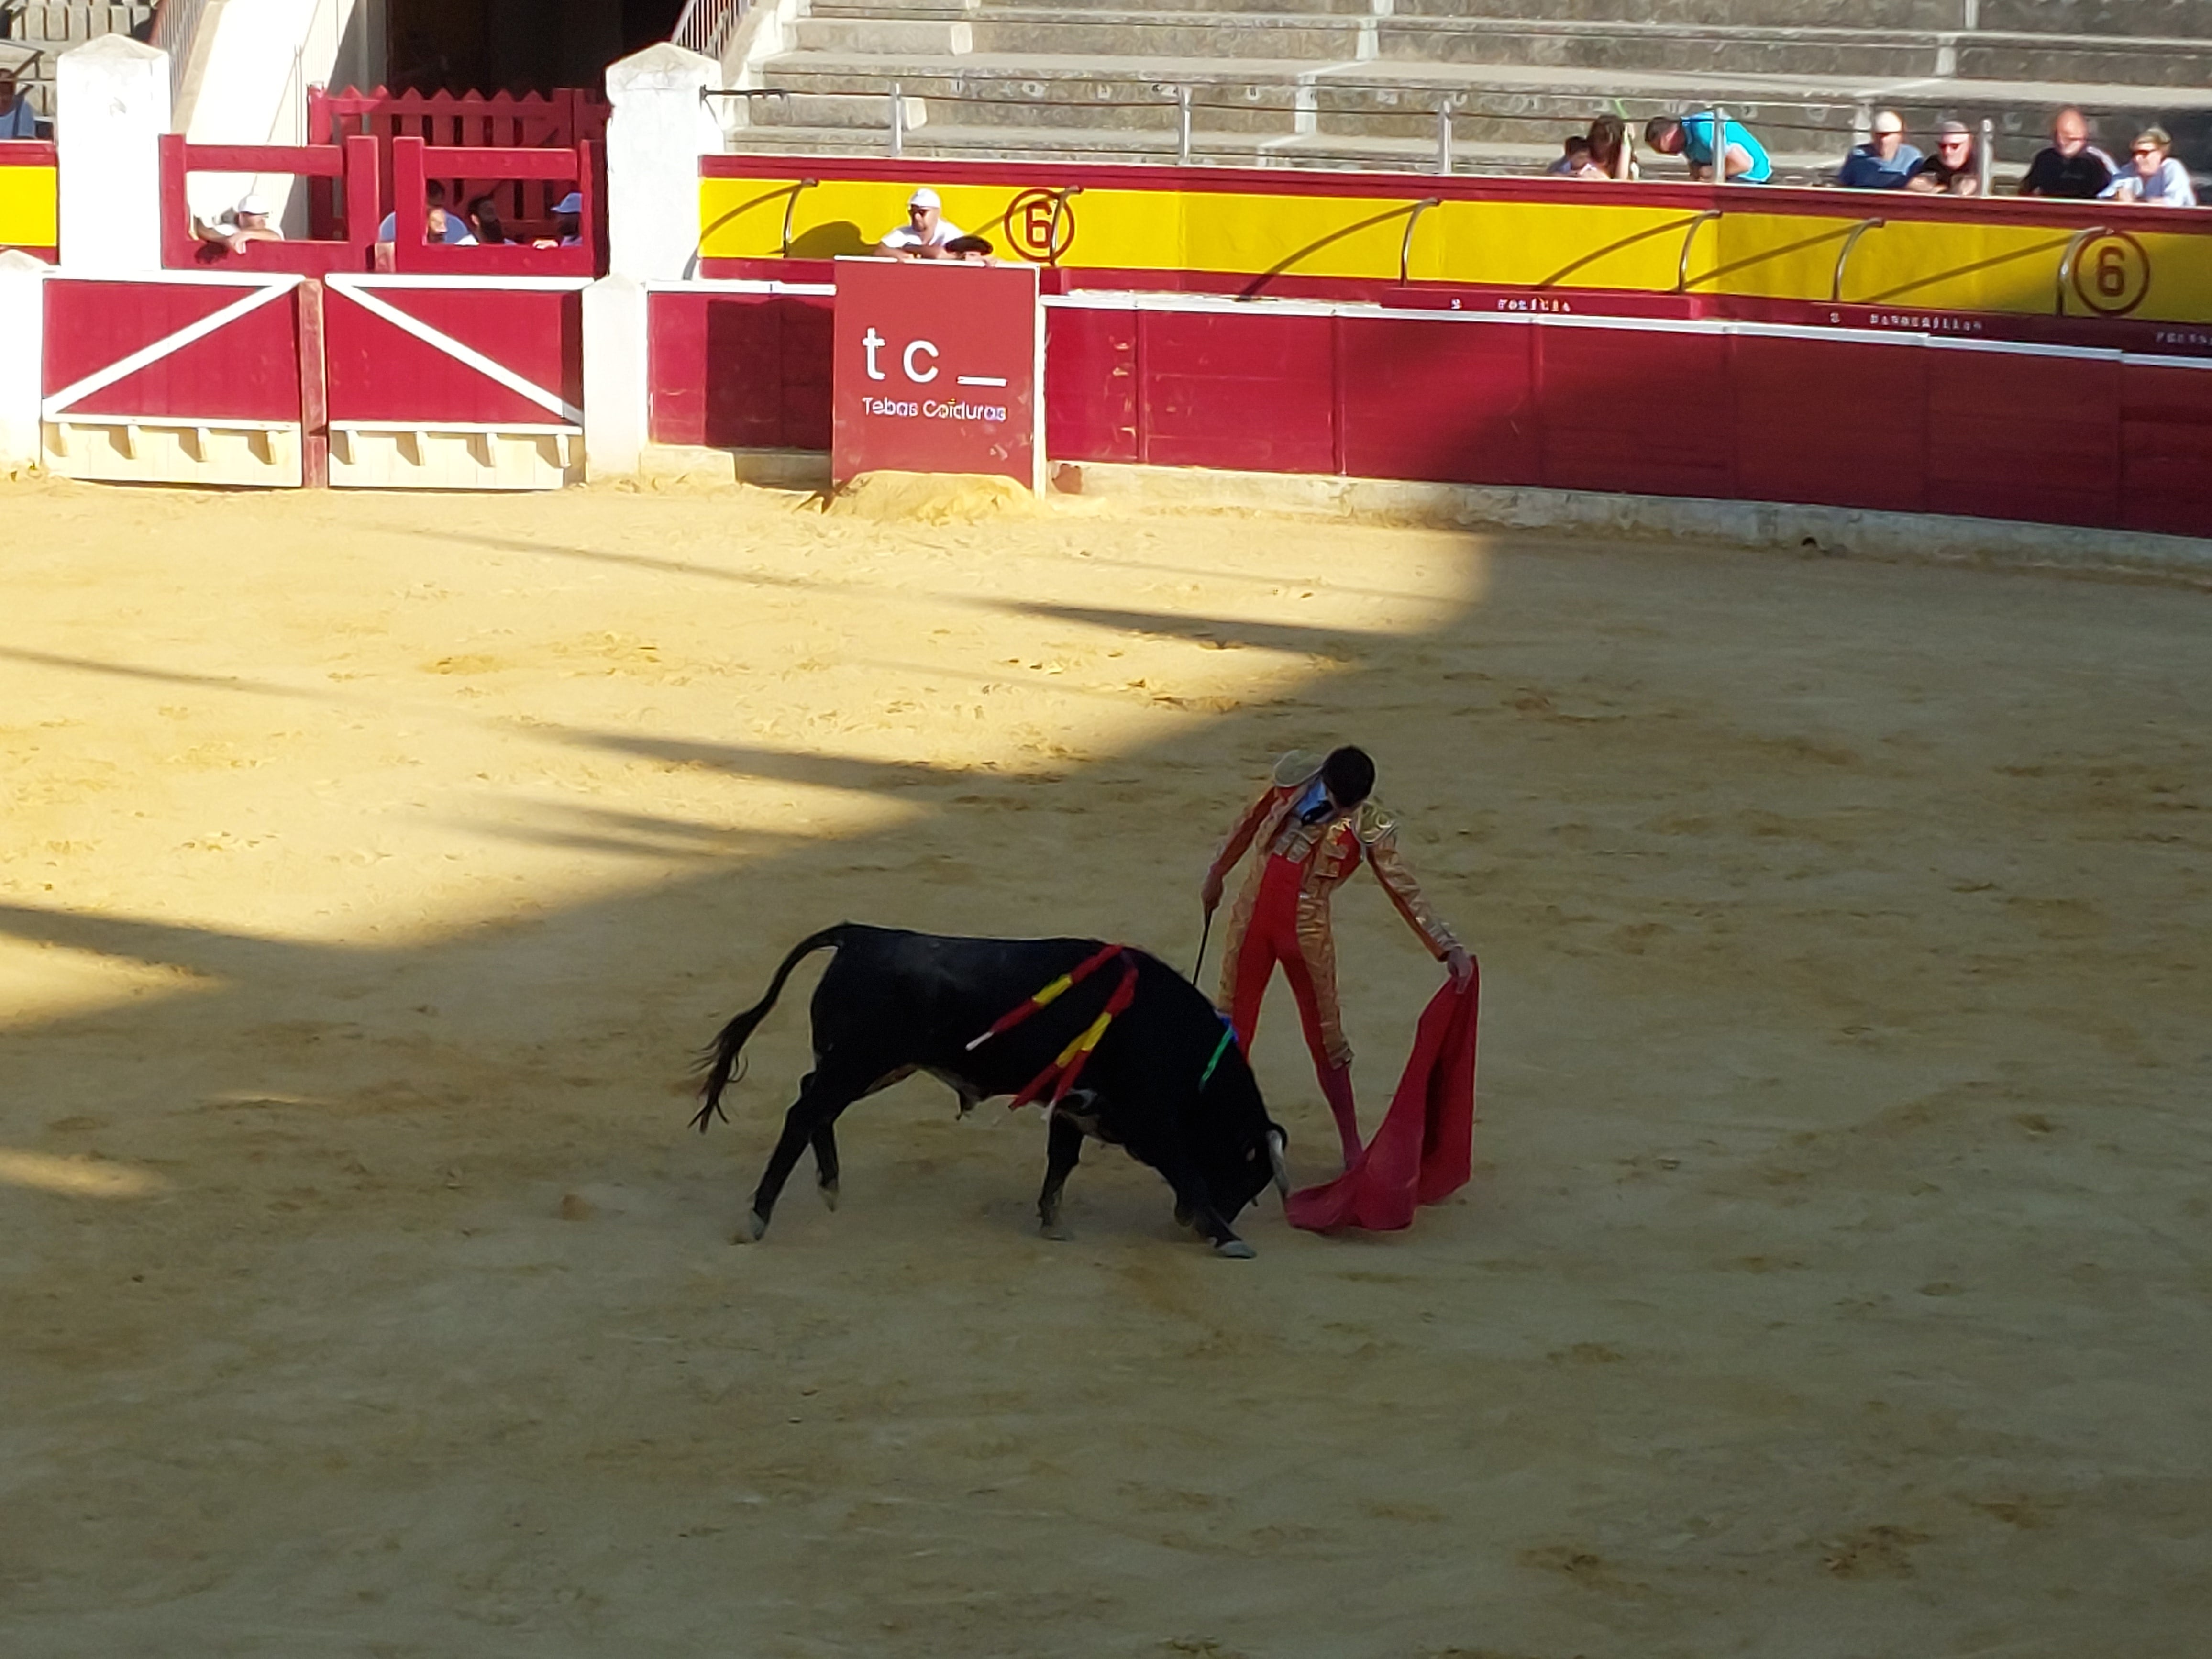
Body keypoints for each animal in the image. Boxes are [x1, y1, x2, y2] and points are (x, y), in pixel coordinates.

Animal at [686, 924, 1292, 1256]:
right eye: (1249, 1176)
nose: (1188, 1227)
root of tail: (859, 935)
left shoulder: (1074, 1108)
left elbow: (1061, 1162)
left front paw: (1052, 1224)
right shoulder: (1151, 1122)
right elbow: (1186, 1173)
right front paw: (1229, 1239)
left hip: (870, 1066)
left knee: (815, 1105)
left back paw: (830, 1187)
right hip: (860, 1062)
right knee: (803, 1113)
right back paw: (757, 1219)